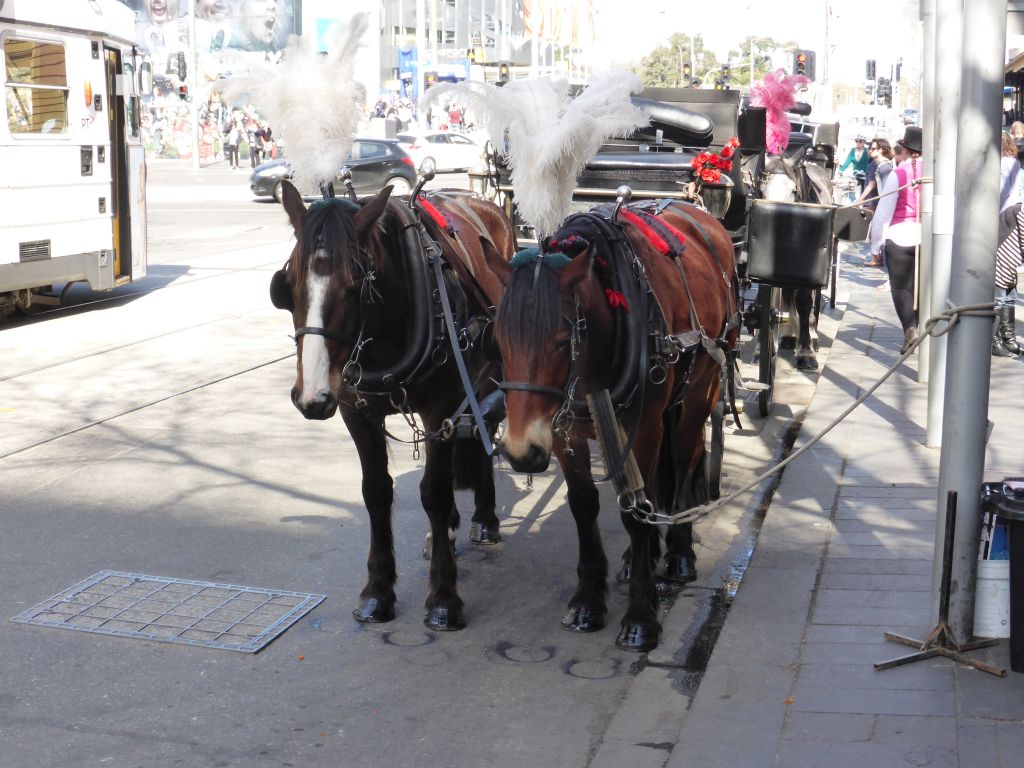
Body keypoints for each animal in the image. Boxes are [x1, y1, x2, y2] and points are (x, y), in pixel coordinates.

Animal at [270, 183, 516, 634]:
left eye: (357, 284)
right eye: (287, 284)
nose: (312, 396)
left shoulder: (440, 407)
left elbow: (434, 492)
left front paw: (443, 598)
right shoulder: (355, 412)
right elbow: (376, 492)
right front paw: (377, 591)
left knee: (483, 427)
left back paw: (485, 517)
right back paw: (449, 530)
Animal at [485, 201, 737, 651]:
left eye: (562, 338)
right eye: (499, 339)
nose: (520, 452)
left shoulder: (645, 427)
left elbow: (636, 513)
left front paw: (641, 618)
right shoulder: (563, 431)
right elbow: (585, 506)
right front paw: (588, 601)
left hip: (699, 392)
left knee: (685, 464)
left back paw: (678, 555)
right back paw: (640, 557)